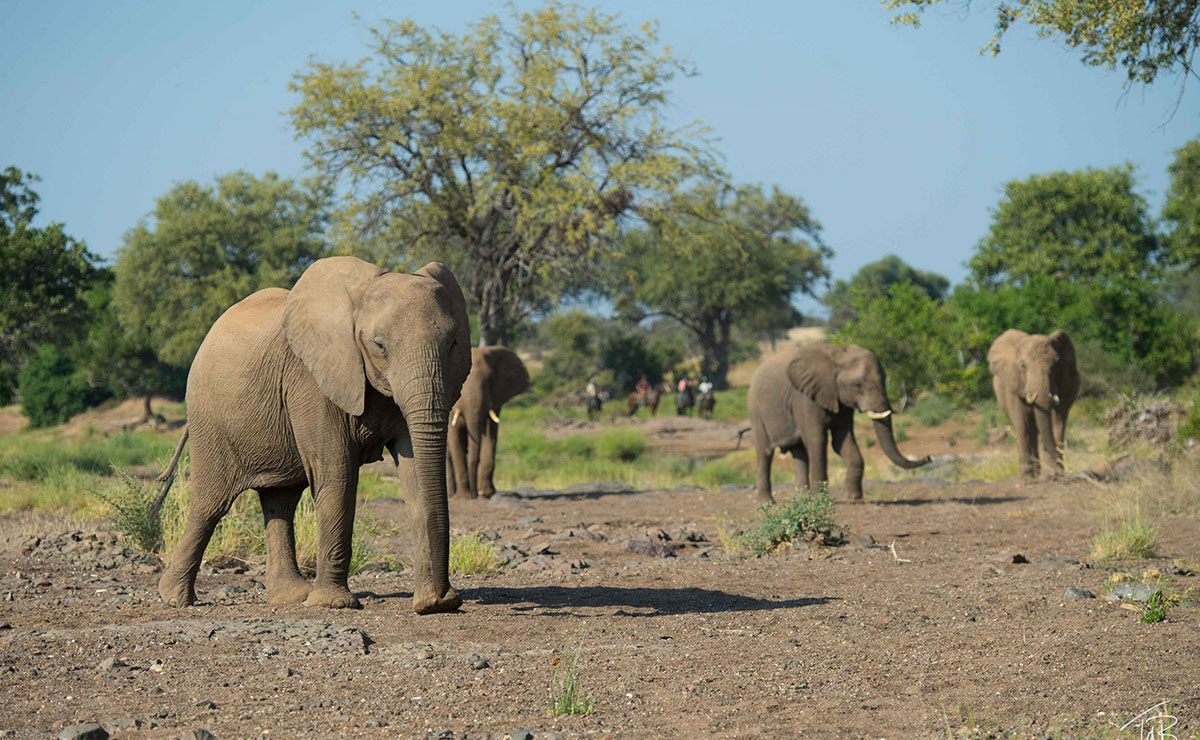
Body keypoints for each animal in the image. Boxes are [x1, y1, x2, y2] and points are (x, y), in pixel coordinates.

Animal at [151, 256, 468, 614]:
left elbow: (414, 474)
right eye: (379, 346)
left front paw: (432, 603)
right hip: (209, 419)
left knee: (280, 501)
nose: (443, 599)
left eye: (453, 343)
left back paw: (289, 596)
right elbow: (337, 474)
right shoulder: (310, 380)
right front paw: (335, 604)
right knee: (211, 504)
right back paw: (175, 598)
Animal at [448, 345, 528, 496]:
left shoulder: (494, 400)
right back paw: (451, 494)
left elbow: (490, 434)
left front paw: (486, 494)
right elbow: (454, 438)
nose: (475, 493)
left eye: (490, 380)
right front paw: (464, 496)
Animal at [744, 340, 931, 501]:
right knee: (765, 452)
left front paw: (852, 497)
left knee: (800, 453)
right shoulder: (804, 398)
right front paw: (821, 499)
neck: (838, 357)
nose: (928, 457)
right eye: (857, 385)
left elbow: (842, 440)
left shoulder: (842, 402)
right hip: (755, 408)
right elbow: (817, 440)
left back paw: (803, 499)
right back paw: (767, 503)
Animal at [988, 328, 1084, 479]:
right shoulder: (1014, 384)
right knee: (1029, 428)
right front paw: (1027, 479)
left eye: (1055, 366)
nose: (1059, 470)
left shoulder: (1065, 383)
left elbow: (1057, 420)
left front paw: (1053, 475)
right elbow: (1022, 423)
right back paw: (1033, 475)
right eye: (1023, 366)